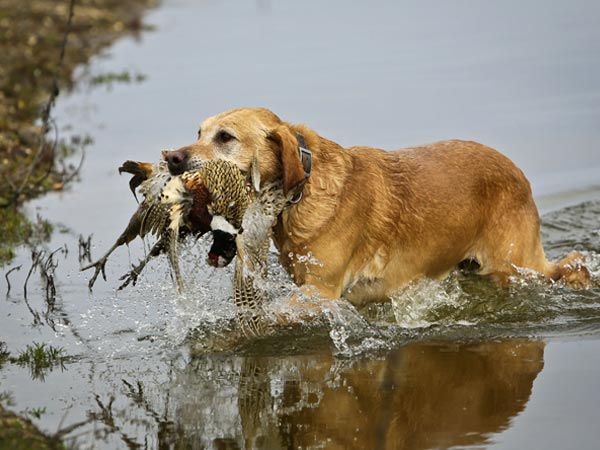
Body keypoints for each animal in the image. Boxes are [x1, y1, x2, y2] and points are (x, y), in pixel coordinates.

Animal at [162, 108, 588, 306]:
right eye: (198, 132)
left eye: (225, 137)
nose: (171, 158)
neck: (302, 191)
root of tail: (517, 172)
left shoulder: (321, 292)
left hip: (515, 265)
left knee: (572, 266)